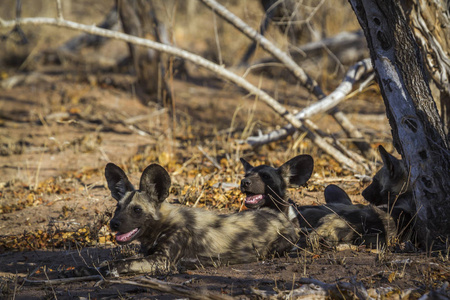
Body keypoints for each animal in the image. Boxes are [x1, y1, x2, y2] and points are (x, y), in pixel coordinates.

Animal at [74, 162, 298, 276]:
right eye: (117, 208)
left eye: (137, 210)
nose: (114, 224)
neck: (162, 225)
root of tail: (277, 214)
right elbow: (110, 261)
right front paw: (83, 269)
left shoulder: (162, 261)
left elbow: (118, 263)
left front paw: (106, 270)